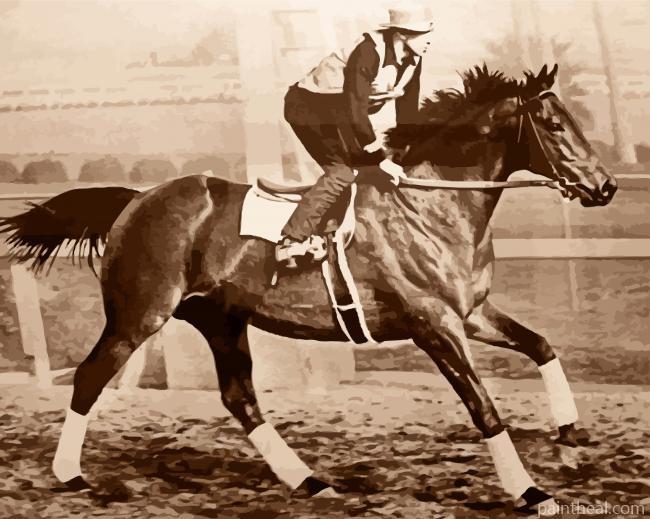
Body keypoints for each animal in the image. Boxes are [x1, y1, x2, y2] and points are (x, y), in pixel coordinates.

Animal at [0, 65, 617, 514]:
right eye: (555, 126)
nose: (606, 186)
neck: (431, 203)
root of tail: (136, 199)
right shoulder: (433, 324)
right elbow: (484, 408)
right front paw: (530, 491)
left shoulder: (471, 314)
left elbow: (542, 346)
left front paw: (569, 442)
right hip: (139, 315)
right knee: (89, 377)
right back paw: (69, 474)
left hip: (220, 319)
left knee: (240, 398)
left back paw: (309, 482)